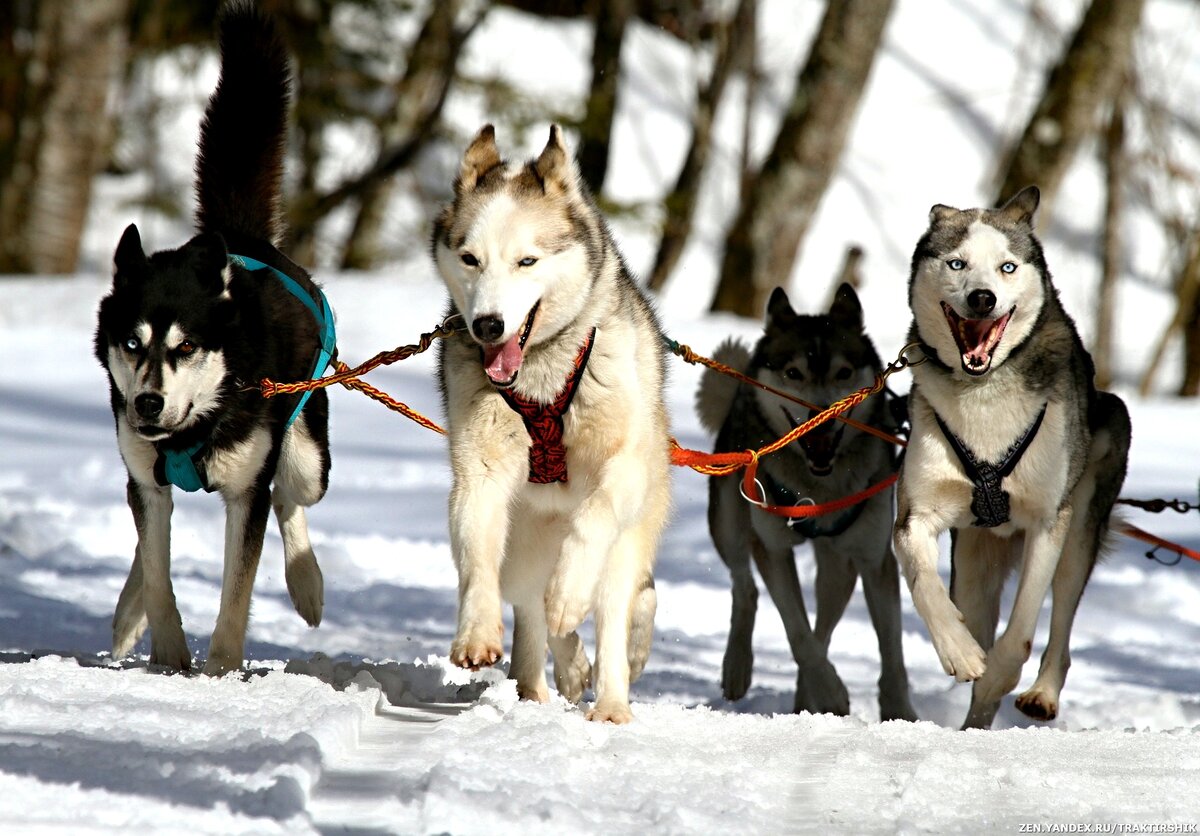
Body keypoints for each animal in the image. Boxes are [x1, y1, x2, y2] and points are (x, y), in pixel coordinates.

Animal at [94, 3, 333, 676]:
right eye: (132, 344)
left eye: (186, 347)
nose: (148, 402)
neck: (194, 427)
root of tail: (240, 237)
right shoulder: (146, 475)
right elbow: (157, 570)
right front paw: (169, 655)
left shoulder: (246, 491)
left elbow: (237, 590)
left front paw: (222, 669)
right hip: (143, 469)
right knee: (147, 535)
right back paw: (128, 614)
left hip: (307, 454)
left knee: (291, 496)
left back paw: (307, 584)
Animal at [434, 124, 676, 724]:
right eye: (470, 258)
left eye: (527, 261)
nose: (487, 324)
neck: (541, 378)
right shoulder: (479, 473)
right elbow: (476, 558)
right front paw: (476, 633)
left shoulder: (623, 469)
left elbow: (593, 520)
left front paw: (569, 593)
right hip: (523, 544)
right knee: (531, 608)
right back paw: (548, 680)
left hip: (628, 538)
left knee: (613, 607)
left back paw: (609, 701)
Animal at [700, 285, 912, 719]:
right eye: (793, 373)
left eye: (843, 373)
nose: (822, 418)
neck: (819, 487)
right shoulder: (773, 548)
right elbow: (797, 633)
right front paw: (830, 692)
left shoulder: (873, 558)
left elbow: (891, 652)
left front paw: (900, 713)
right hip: (729, 522)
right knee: (744, 587)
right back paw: (738, 667)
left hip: (839, 565)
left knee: (825, 625)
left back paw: (804, 699)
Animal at [897, 185, 1128, 729]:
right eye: (957, 263)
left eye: (1007, 267)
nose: (983, 297)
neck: (983, 395)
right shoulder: (917, 515)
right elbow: (924, 583)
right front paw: (959, 651)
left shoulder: (1047, 520)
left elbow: (1021, 631)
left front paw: (999, 673)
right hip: (973, 562)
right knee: (976, 611)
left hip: (1080, 528)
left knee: (1060, 623)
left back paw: (1040, 693)